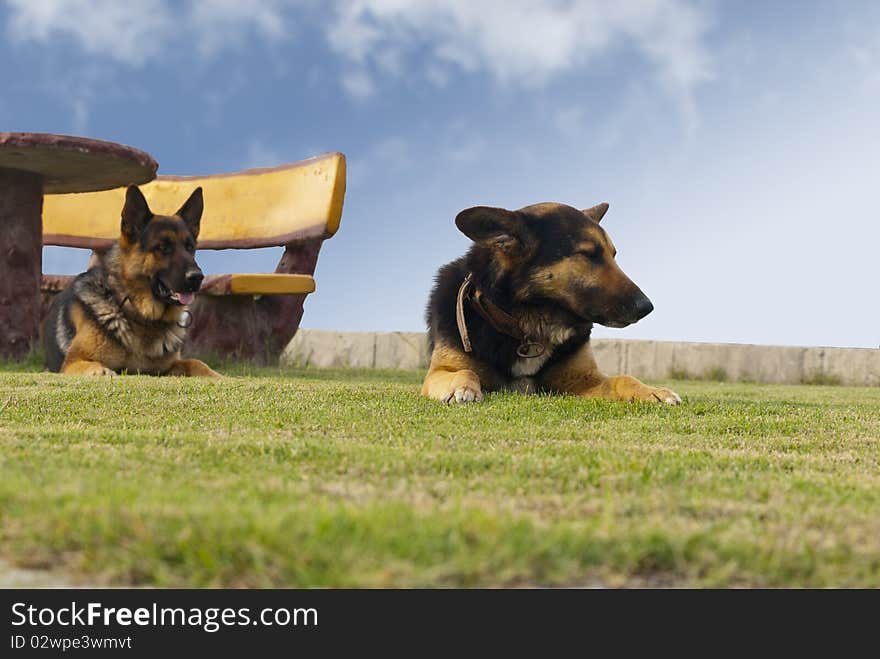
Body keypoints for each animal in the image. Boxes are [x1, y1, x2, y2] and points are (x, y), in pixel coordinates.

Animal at [44, 184, 223, 376]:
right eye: (163, 247)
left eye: (190, 248)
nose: (197, 277)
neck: (138, 314)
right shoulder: (74, 361)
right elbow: (96, 367)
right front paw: (103, 372)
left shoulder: (166, 367)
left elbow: (195, 362)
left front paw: (218, 375)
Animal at [424, 201, 680, 404]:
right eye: (588, 254)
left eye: (613, 255)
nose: (647, 307)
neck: (529, 327)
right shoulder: (439, 372)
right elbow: (465, 371)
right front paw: (462, 387)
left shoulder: (582, 380)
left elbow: (622, 378)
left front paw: (652, 391)